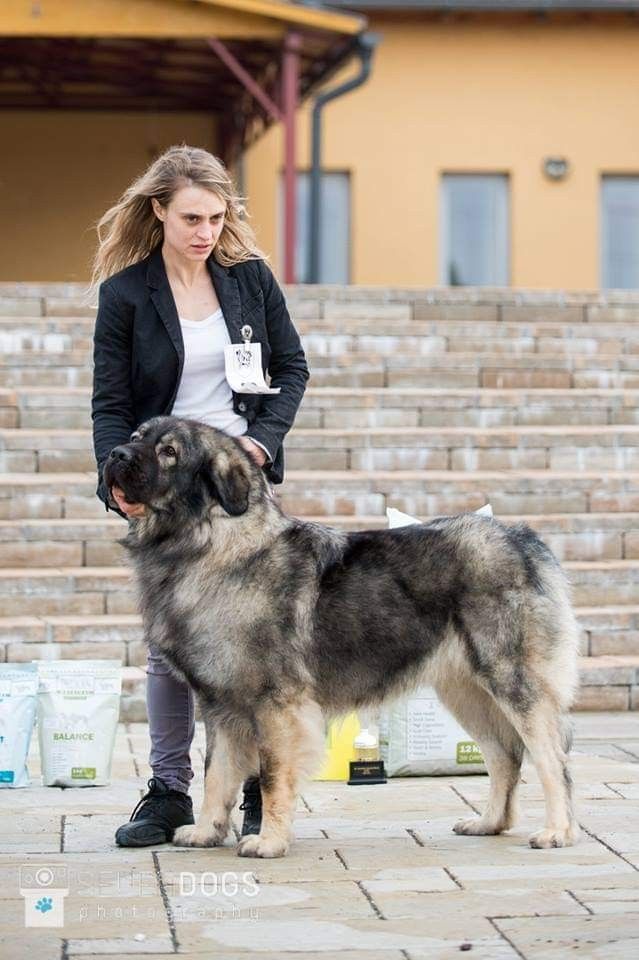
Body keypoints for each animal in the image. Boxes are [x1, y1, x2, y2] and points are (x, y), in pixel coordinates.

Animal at [104, 416, 580, 860]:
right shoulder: (220, 705)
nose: (115, 454)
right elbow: (215, 773)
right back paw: (489, 823)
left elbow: (272, 776)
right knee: (505, 756)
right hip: (466, 691)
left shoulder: (277, 705)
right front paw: (206, 832)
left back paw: (557, 831)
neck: (209, 543)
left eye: (169, 452)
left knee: (550, 758)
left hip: (512, 682)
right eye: (136, 436)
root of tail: (523, 539)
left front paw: (269, 841)